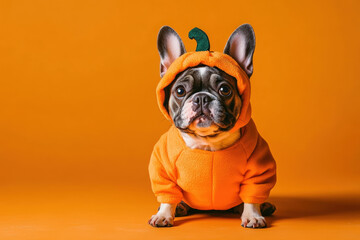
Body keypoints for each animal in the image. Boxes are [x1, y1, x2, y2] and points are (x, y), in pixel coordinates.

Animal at [148, 24, 278, 229]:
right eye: (180, 91)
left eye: (225, 89)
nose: (201, 98)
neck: (207, 142)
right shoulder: (163, 170)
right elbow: (167, 196)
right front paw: (164, 215)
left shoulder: (258, 171)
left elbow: (252, 196)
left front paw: (253, 216)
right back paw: (181, 207)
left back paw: (262, 206)